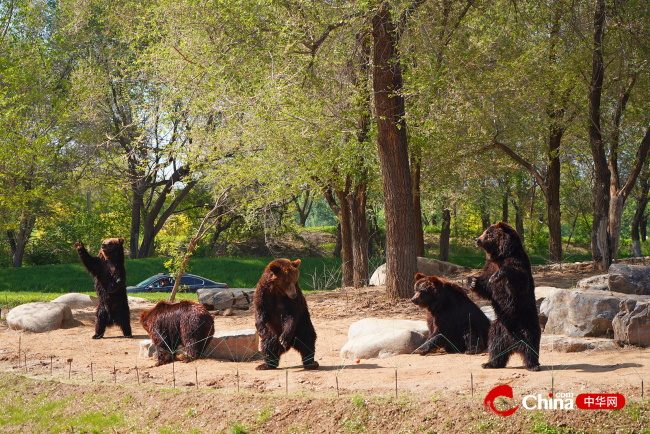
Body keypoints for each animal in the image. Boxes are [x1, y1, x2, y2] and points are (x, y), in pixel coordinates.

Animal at [464, 224, 540, 370]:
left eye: (488, 233)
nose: (477, 239)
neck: (501, 255)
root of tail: (513, 343)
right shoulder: (489, 266)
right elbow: (485, 286)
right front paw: (472, 282)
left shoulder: (517, 261)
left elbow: (519, 280)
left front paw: (498, 276)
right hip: (499, 327)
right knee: (495, 344)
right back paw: (490, 363)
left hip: (525, 320)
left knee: (530, 342)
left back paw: (533, 365)